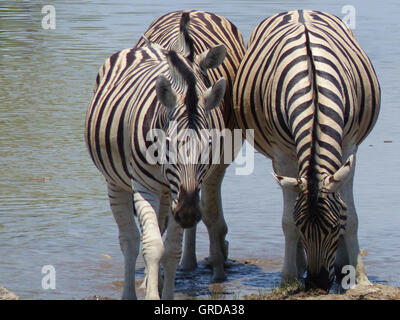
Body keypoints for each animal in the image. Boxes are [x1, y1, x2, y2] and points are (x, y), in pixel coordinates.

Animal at [234, 10, 382, 290]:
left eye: (334, 228)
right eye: (303, 227)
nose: (317, 283)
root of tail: (299, 10)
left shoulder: (348, 147)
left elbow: (351, 216)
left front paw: (359, 276)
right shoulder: (282, 155)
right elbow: (287, 221)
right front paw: (288, 277)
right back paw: (299, 264)